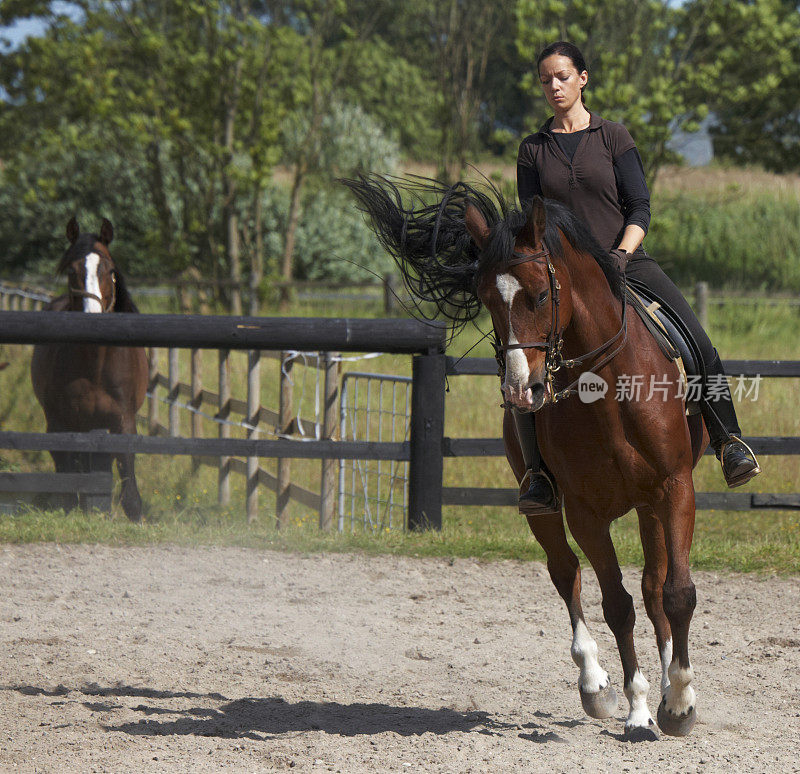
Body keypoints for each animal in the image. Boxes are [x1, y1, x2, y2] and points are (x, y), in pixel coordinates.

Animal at [30, 218, 148, 520]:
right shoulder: (60, 423)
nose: (90, 319)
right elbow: (66, 470)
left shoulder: (123, 420)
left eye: (109, 270)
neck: (94, 367)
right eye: (71, 270)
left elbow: (127, 468)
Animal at [346, 177, 708, 744]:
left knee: (654, 588)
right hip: (542, 504)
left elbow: (676, 594)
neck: (609, 390)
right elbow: (615, 604)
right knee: (567, 574)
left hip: (649, 504)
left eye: (539, 294)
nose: (523, 390)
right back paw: (594, 684)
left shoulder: (674, 488)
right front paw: (637, 708)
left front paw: (679, 702)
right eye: (486, 299)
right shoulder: (583, 512)